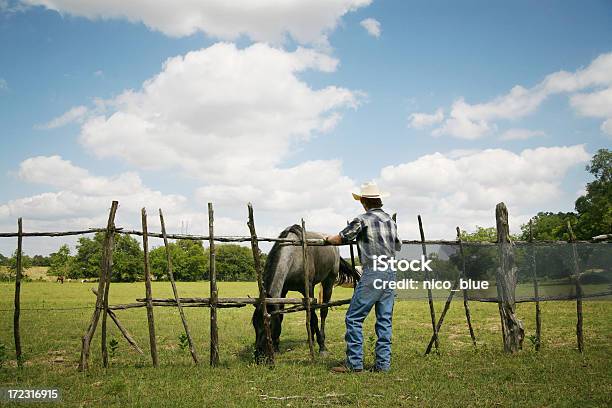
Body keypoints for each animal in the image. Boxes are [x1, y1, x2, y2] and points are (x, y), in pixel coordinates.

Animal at [252, 225, 358, 362]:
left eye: (268, 325)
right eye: (254, 324)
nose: (258, 356)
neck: (294, 256)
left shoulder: (309, 288)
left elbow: (314, 318)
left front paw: (322, 347)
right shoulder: (283, 291)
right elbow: (282, 315)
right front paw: (276, 347)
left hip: (328, 281)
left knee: (323, 312)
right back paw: (310, 339)